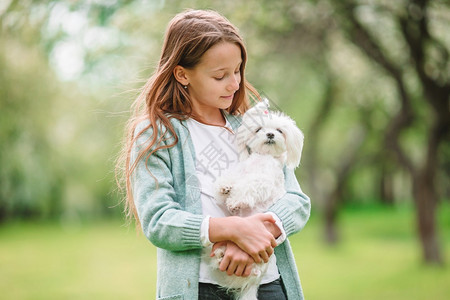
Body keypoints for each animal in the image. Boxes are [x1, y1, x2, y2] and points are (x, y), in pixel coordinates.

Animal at [209, 99, 304, 298]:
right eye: (259, 129)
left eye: (279, 130)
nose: (270, 134)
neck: (262, 159)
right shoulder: (241, 170)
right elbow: (233, 177)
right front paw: (224, 188)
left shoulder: (263, 181)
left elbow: (248, 187)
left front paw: (234, 201)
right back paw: (220, 254)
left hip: (260, 260)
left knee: (255, 270)